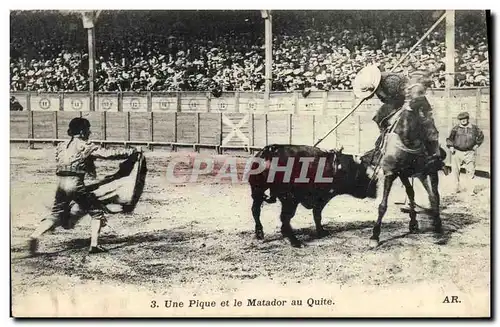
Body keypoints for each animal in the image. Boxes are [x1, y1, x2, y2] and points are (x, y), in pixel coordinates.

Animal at [248, 145, 376, 247]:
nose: (374, 190)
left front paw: (322, 231)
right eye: (364, 175)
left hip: (257, 190)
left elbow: (317, 215)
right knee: (284, 217)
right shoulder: (321, 197)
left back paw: (259, 233)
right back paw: (295, 241)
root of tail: (269, 151)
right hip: (288, 198)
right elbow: (316, 214)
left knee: (255, 210)